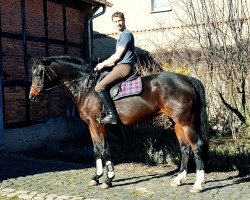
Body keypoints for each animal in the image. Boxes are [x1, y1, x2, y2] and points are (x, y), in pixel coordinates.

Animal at [28, 55, 209, 193]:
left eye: (39, 73)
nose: (32, 96)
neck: (86, 87)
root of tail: (188, 79)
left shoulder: (97, 124)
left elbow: (103, 149)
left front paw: (108, 179)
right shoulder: (93, 126)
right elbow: (98, 149)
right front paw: (98, 177)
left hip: (186, 123)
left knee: (197, 146)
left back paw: (197, 185)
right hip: (178, 124)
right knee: (185, 148)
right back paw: (179, 179)